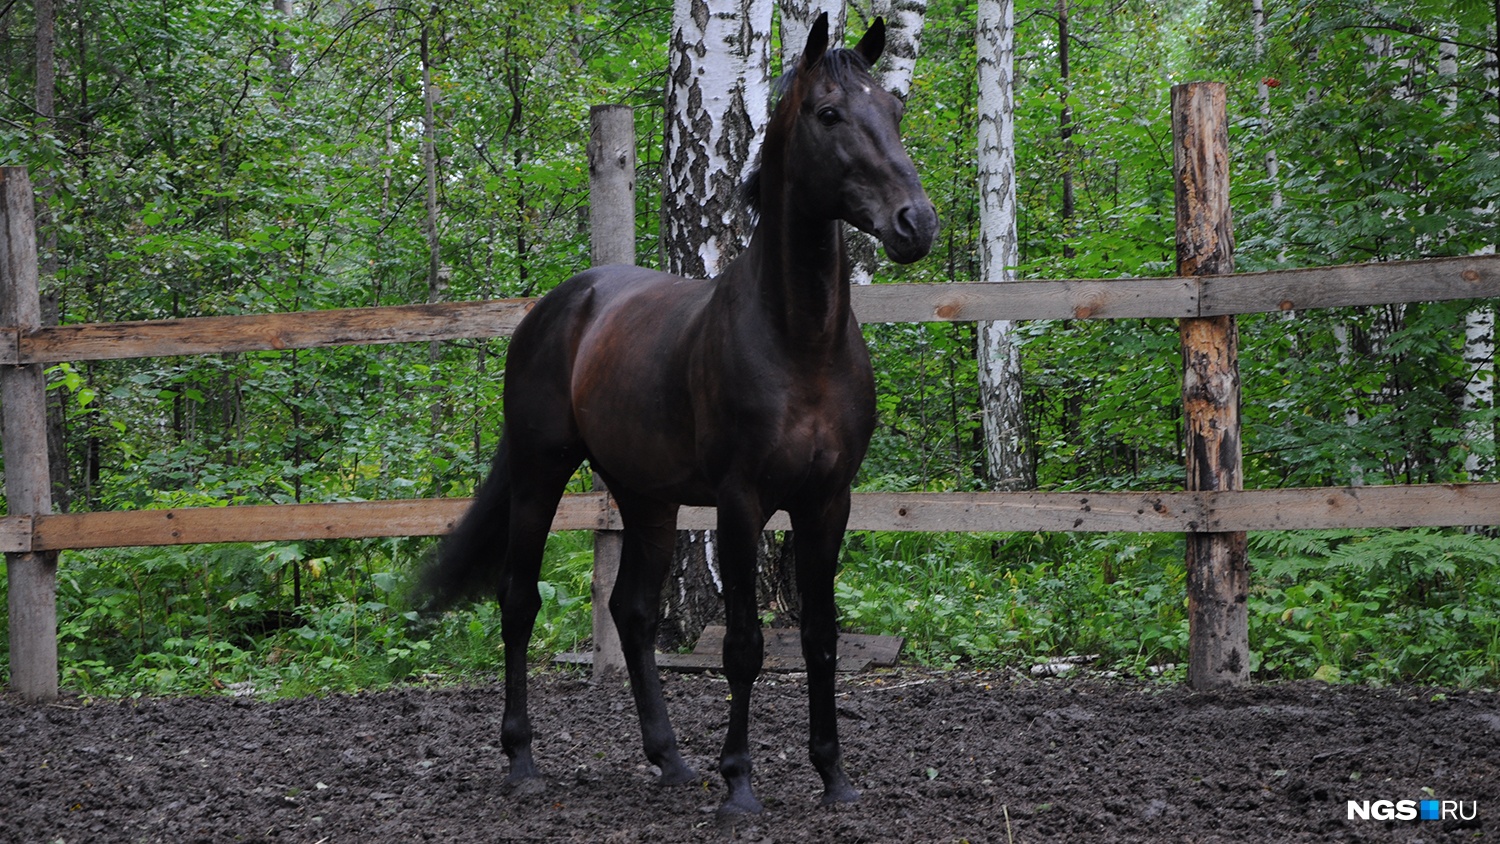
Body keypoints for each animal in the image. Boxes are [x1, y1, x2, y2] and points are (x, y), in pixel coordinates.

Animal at [420, 13, 936, 815]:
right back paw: (523, 761)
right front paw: (740, 786)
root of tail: (560, 305)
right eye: (829, 114)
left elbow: (820, 637)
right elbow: (743, 646)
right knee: (517, 600)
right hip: (541, 473)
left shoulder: (828, 501)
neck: (801, 343)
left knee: (632, 611)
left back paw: (668, 758)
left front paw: (834, 778)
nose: (917, 223)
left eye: (894, 110)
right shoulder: (740, 501)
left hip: (646, 497)